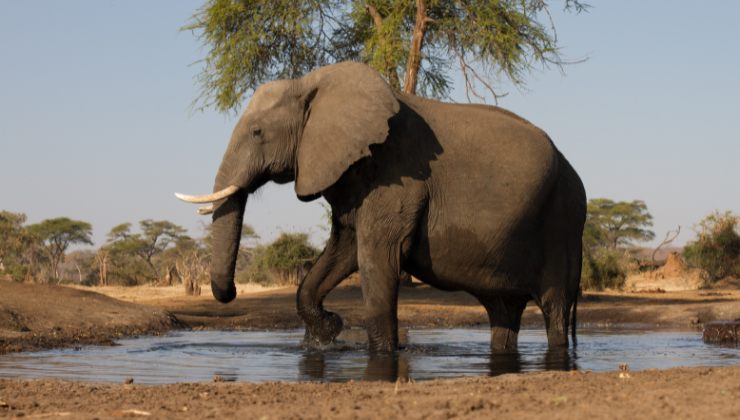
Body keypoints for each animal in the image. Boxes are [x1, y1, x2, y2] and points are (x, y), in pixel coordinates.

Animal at [176, 61, 586, 353]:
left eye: (258, 132)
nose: (230, 292)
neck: (311, 84)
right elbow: (341, 252)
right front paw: (329, 330)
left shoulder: (397, 176)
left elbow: (376, 258)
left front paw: (377, 352)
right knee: (503, 313)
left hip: (562, 220)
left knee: (554, 308)